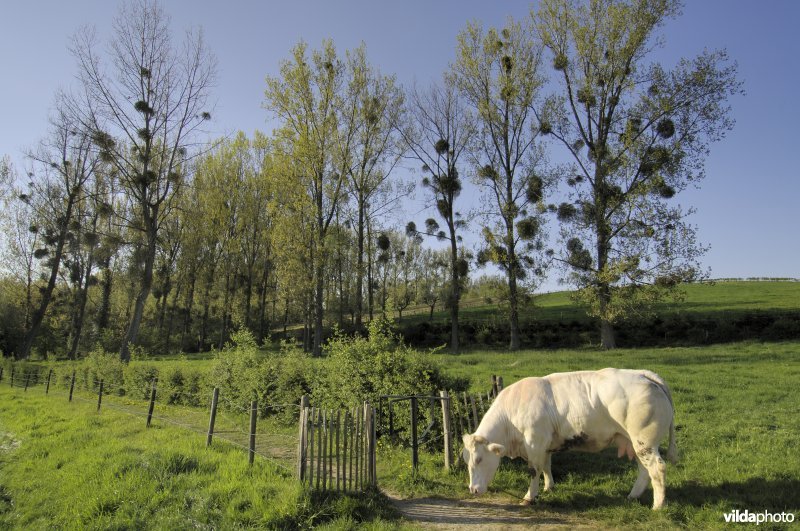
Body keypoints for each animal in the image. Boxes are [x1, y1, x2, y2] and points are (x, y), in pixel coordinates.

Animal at [461, 368, 678, 510]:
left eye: (479, 459)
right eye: (466, 460)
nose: (472, 490)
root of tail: (645, 375)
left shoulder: (534, 442)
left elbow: (534, 470)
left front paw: (530, 497)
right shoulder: (545, 445)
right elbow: (546, 466)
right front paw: (549, 487)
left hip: (644, 442)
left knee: (657, 468)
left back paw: (658, 506)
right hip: (636, 443)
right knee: (645, 471)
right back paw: (633, 496)